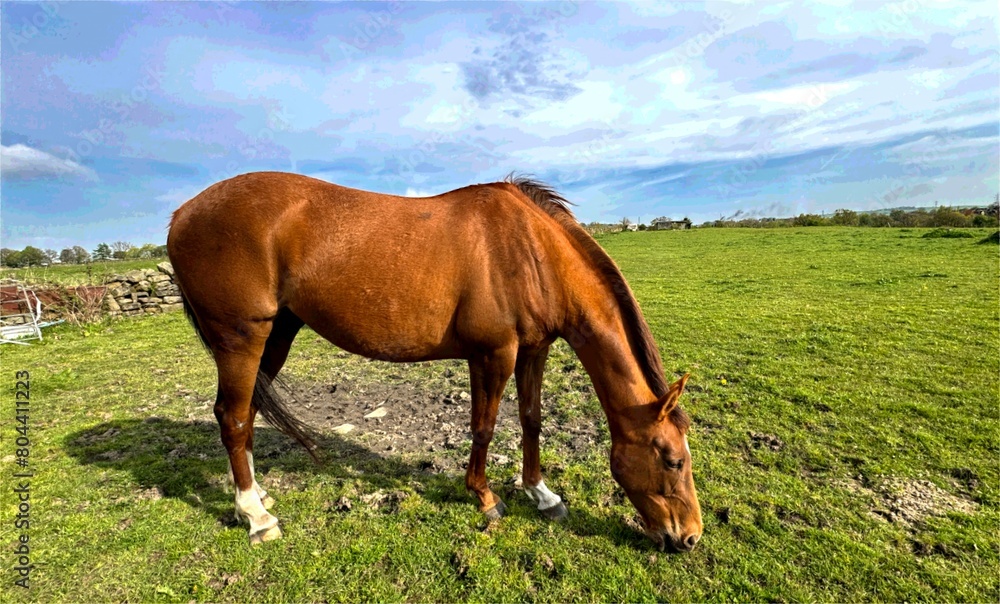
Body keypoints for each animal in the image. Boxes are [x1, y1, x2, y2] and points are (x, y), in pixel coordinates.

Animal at [166, 172, 702, 551]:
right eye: (672, 460)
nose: (690, 537)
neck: (529, 250)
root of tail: (181, 215)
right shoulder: (493, 354)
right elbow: (484, 428)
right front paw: (485, 497)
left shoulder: (534, 350)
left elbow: (531, 420)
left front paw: (541, 494)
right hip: (242, 338)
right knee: (233, 417)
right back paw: (255, 517)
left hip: (277, 334)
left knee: (248, 414)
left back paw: (255, 498)